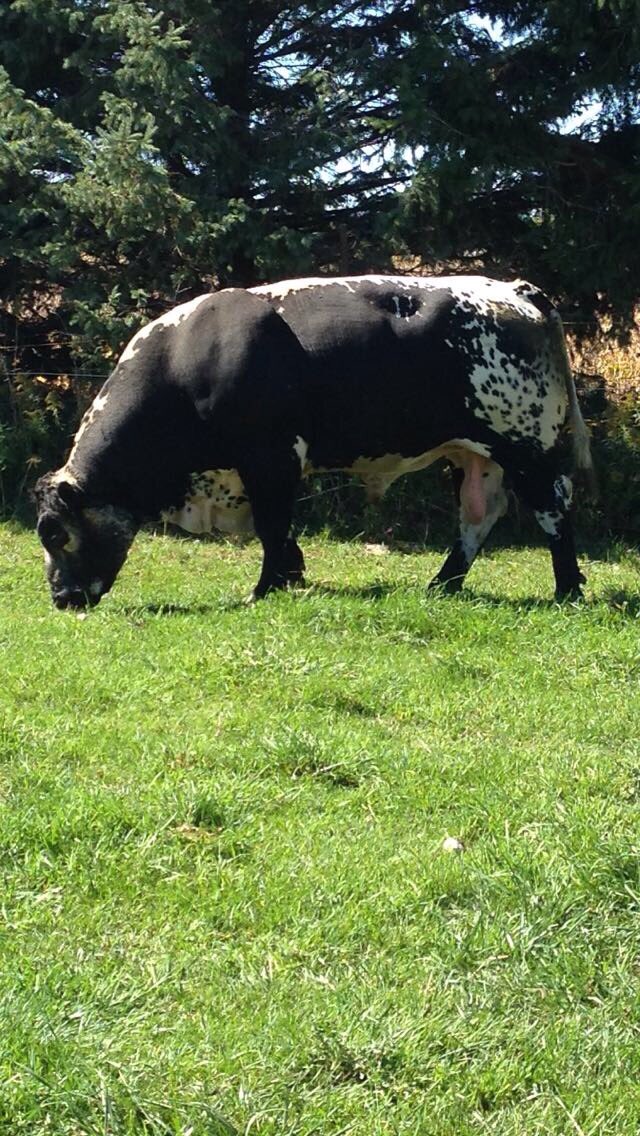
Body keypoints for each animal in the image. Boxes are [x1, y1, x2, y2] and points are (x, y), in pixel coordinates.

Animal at [34, 275, 593, 609]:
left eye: (55, 534)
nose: (61, 598)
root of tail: (514, 289)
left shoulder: (271, 458)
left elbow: (272, 525)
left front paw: (264, 589)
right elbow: (279, 531)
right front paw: (291, 575)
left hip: (527, 446)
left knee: (553, 511)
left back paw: (567, 589)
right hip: (474, 453)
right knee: (478, 515)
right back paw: (442, 585)